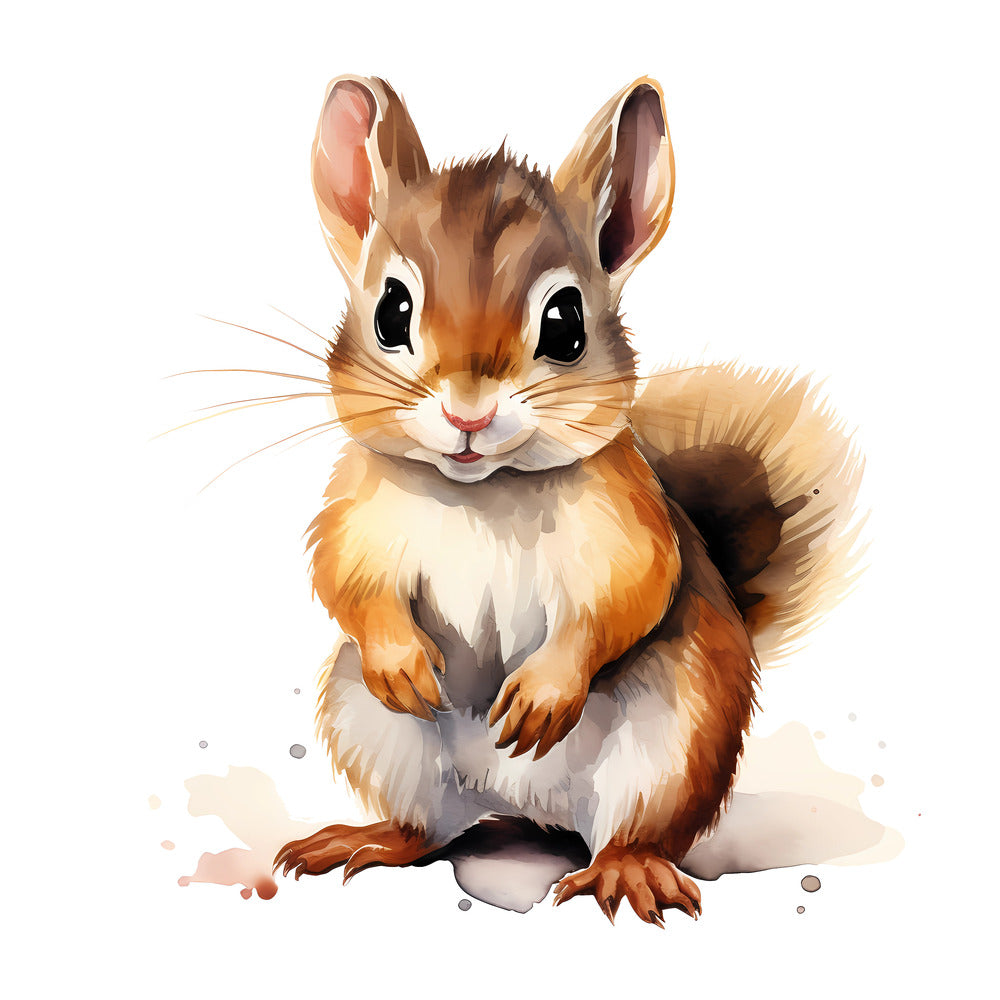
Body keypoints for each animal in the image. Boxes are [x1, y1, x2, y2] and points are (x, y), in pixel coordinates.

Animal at [272, 75, 862, 925]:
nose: (468, 414)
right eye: (391, 310)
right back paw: (367, 838)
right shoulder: (356, 518)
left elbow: (628, 595)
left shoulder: (631, 525)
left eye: (565, 322)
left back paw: (628, 870)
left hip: (671, 747)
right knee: (427, 831)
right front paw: (401, 660)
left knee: (631, 832)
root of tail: (525, 809)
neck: (482, 493)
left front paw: (546, 692)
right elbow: (346, 583)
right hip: (372, 729)